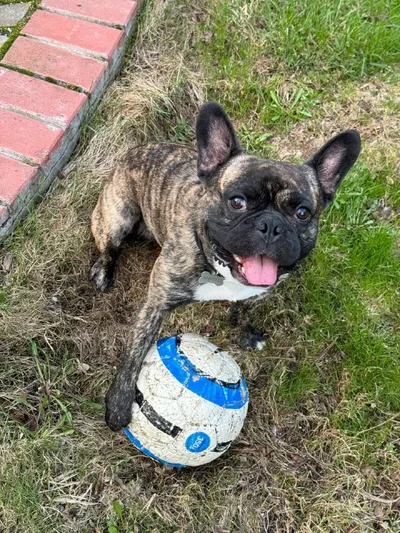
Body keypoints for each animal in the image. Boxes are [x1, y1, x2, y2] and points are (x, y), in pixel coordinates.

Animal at [90, 102, 361, 431]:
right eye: (237, 202)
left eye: (302, 213)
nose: (271, 225)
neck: (222, 271)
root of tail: (133, 152)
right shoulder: (156, 303)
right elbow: (136, 350)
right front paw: (119, 402)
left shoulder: (258, 291)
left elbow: (243, 309)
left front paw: (245, 331)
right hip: (118, 217)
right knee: (109, 247)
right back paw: (103, 272)